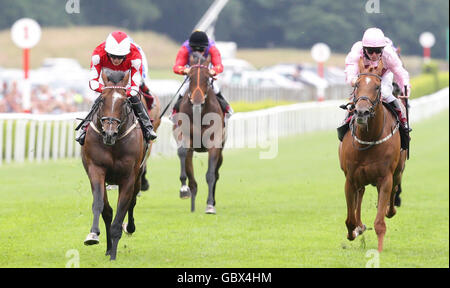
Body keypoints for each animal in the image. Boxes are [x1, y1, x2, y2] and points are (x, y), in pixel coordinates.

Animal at [81, 71, 149, 260]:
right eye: (102, 99)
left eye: (125, 101)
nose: (109, 133)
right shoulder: (96, 170)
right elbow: (101, 206)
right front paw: (93, 235)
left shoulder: (128, 178)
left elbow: (121, 213)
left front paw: (113, 255)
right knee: (109, 210)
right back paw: (108, 247)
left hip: (138, 177)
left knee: (132, 203)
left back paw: (129, 228)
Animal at [174, 51, 227, 214]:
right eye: (190, 77)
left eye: (207, 78)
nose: (197, 101)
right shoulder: (186, 136)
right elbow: (182, 152)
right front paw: (183, 189)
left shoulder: (215, 142)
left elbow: (211, 175)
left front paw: (210, 205)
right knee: (193, 180)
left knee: (216, 174)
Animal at [340, 59, 406, 252]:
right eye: (356, 84)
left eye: (377, 87)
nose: (361, 112)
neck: (368, 139)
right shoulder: (350, 178)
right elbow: (350, 219)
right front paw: (355, 230)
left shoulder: (385, 178)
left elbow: (380, 222)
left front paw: (379, 250)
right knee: (360, 194)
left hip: (397, 172)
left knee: (394, 190)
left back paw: (390, 209)